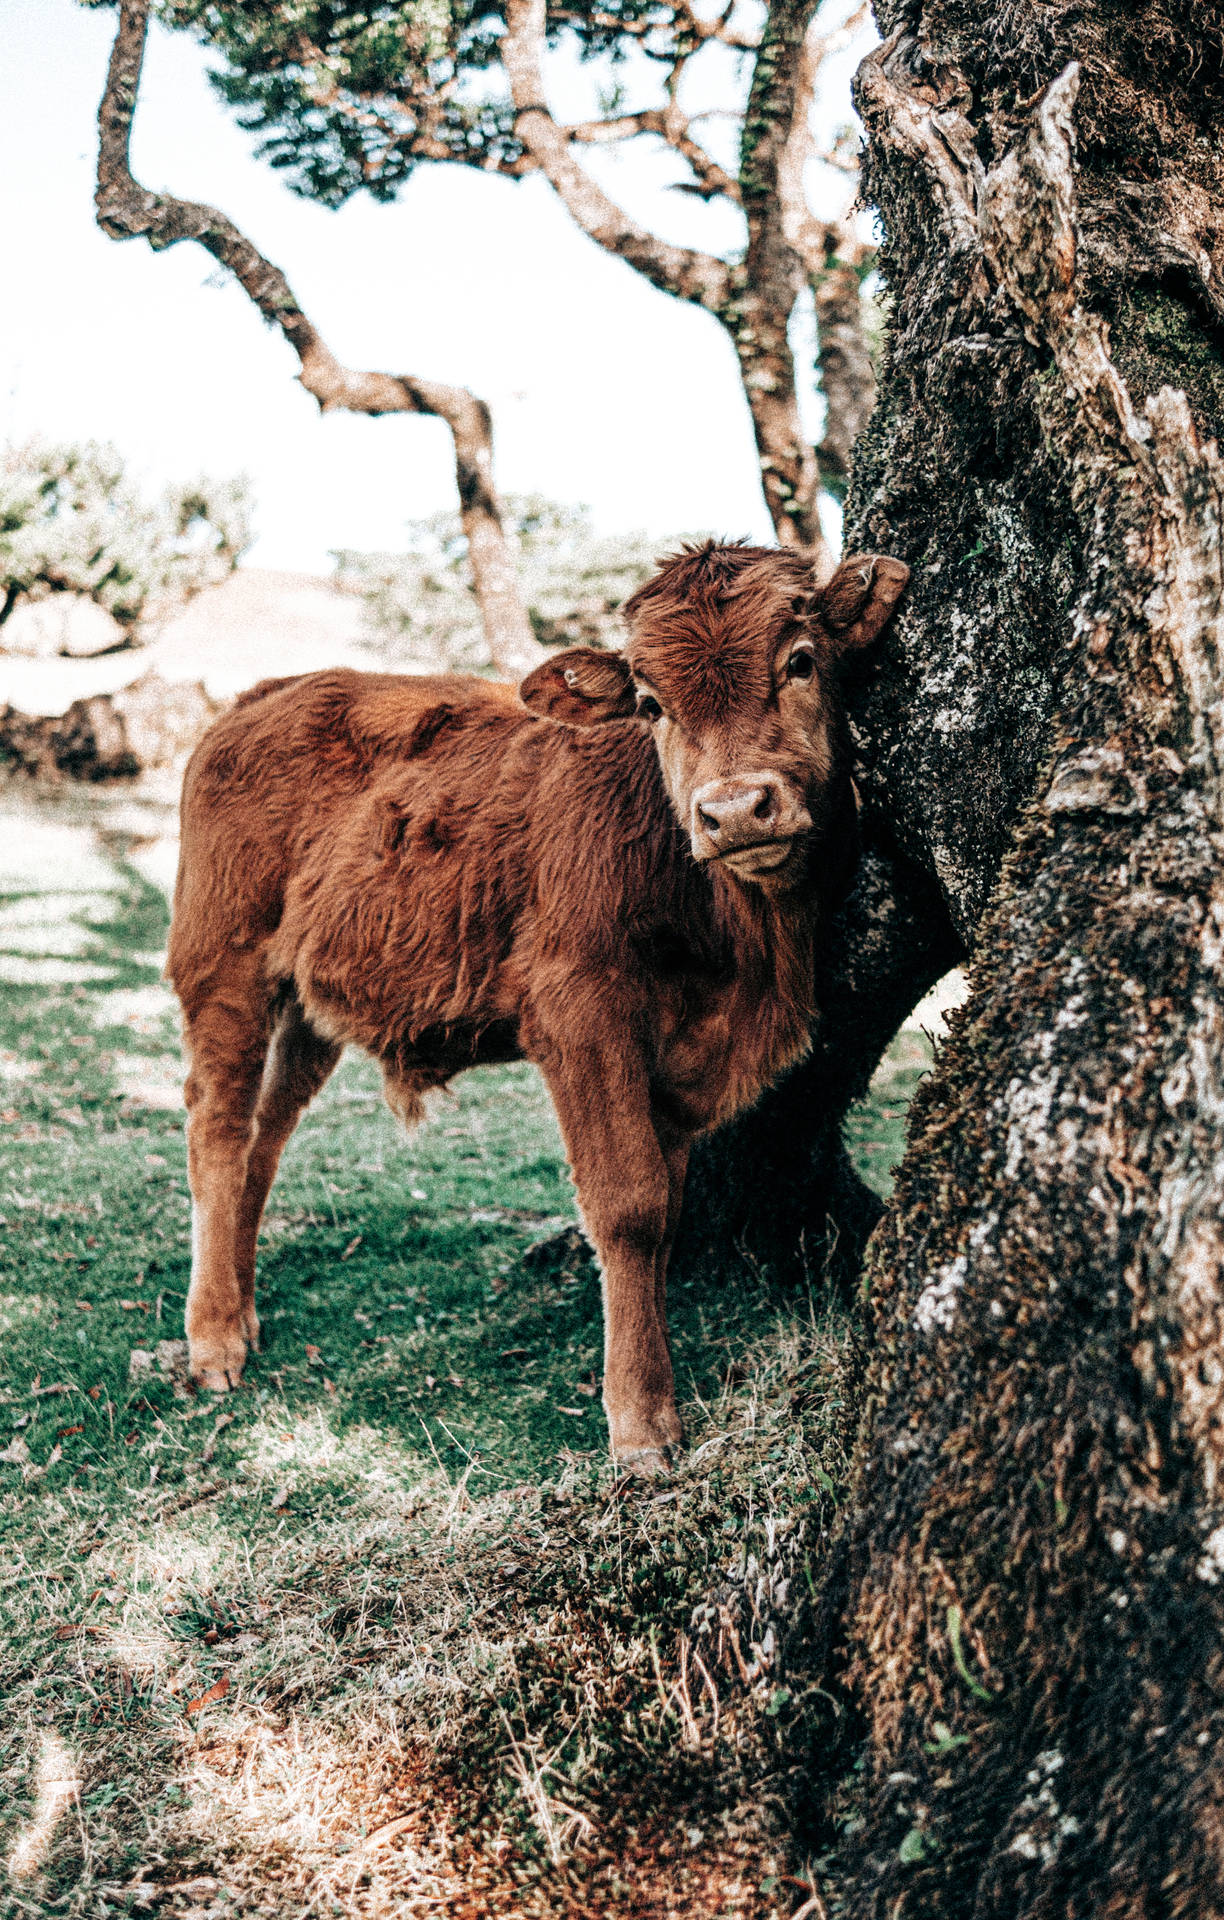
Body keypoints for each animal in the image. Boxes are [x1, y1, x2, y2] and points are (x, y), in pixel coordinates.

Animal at [164, 541, 913, 1466]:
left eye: (801, 661)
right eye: (651, 705)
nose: (736, 810)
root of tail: (264, 696)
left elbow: (665, 1204)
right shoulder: (580, 1012)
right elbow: (627, 1204)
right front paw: (640, 1420)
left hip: (308, 1010)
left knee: (266, 1136)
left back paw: (242, 1311)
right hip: (223, 969)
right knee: (218, 1130)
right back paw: (213, 1341)